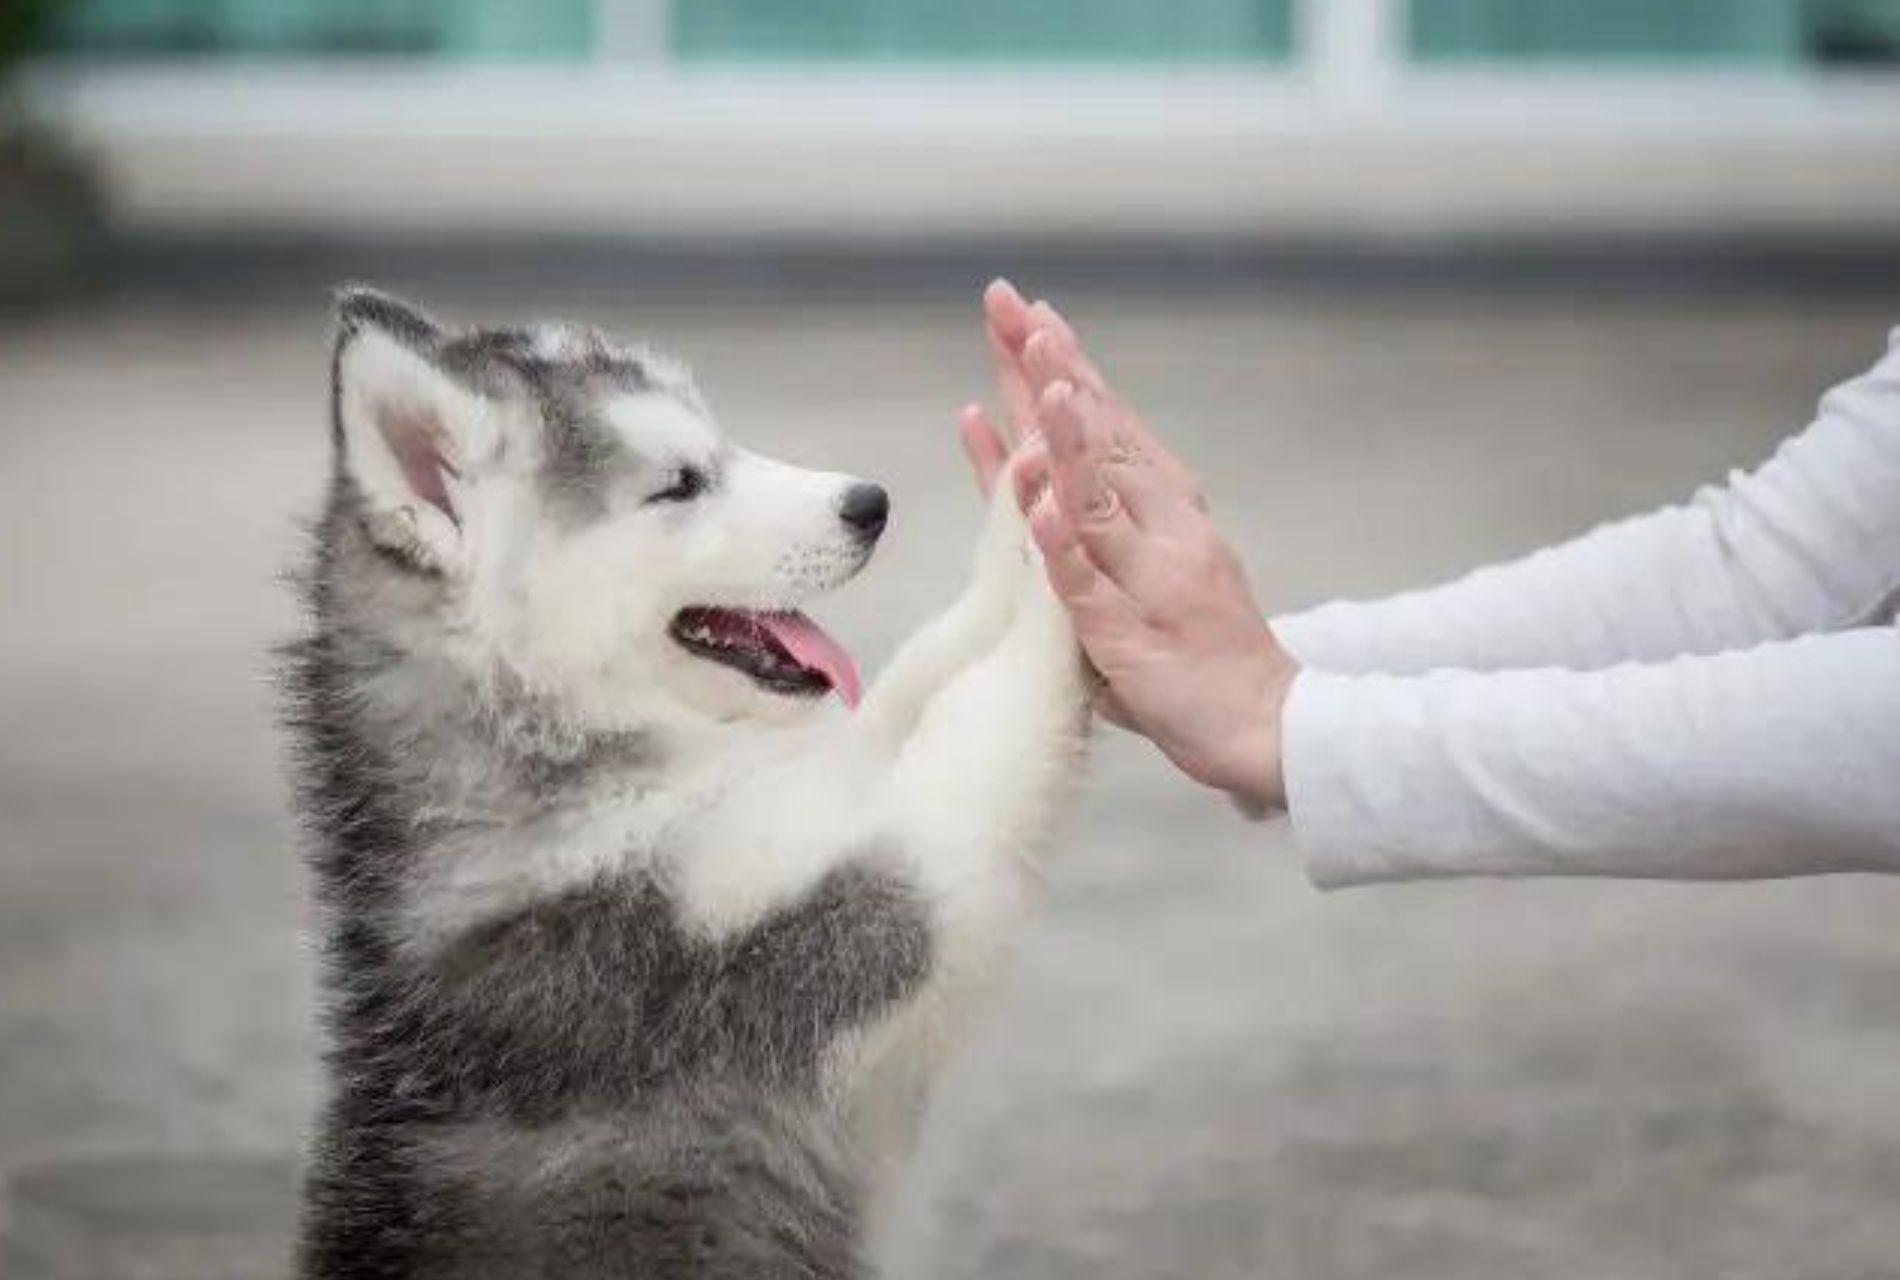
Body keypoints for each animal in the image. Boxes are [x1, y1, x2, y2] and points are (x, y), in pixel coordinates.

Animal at [277, 288, 1094, 1276]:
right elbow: (982, 731)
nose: (870, 503)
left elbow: (919, 679)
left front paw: (1025, 494)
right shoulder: (835, 927)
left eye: (722, 446)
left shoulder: (820, 801)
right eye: (679, 484)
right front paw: (1067, 541)